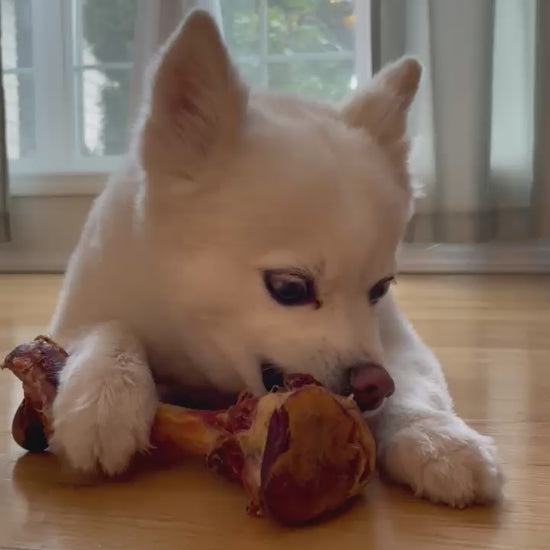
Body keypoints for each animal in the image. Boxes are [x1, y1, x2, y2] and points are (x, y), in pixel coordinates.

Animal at [48, 9, 504, 508]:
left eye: (380, 290)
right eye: (289, 288)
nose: (372, 383)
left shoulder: (398, 342)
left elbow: (414, 388)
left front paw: (438, 440)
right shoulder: (75, 316)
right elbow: (106, 330)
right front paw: (105, 396)